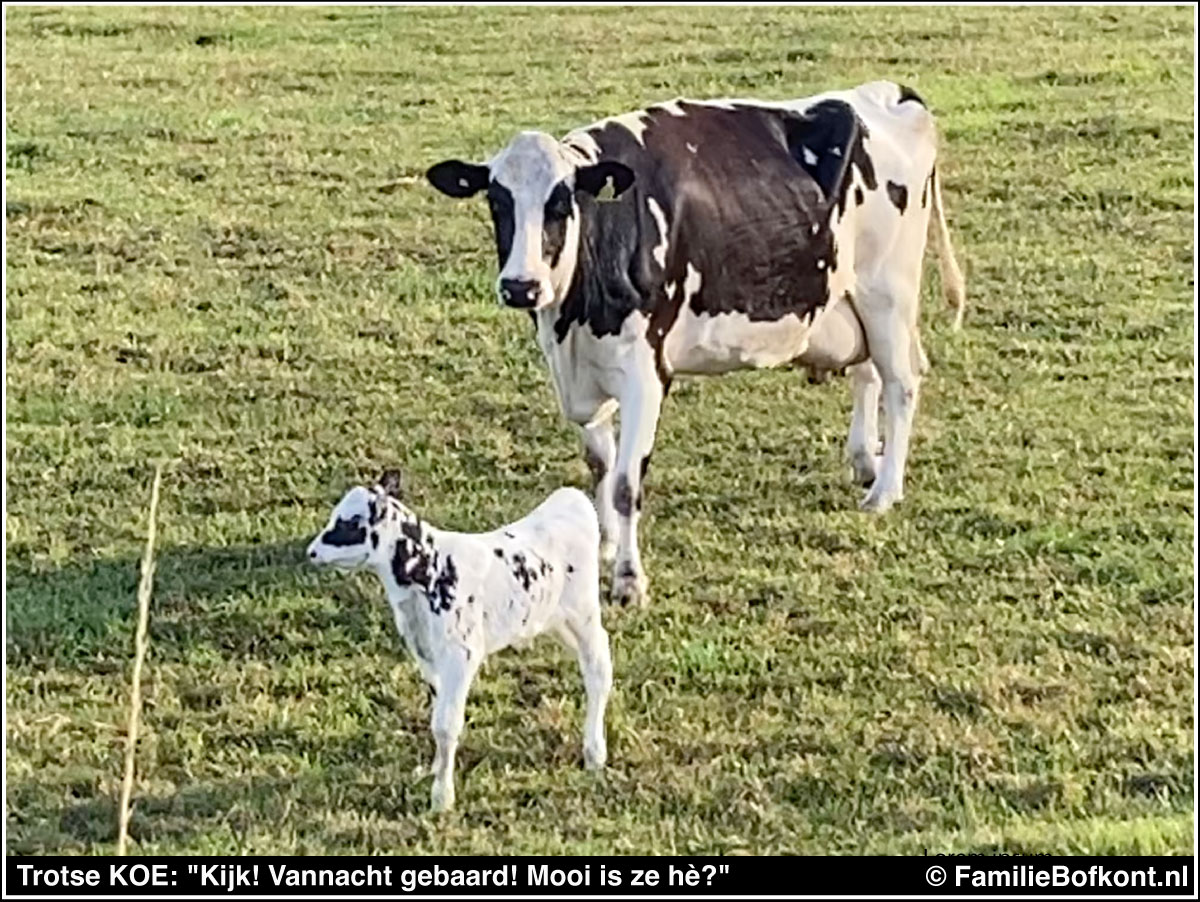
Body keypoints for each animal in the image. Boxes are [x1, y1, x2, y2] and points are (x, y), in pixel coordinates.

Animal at [427, 80, 966, 607]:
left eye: (562, 203)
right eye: (497, 202)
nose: (521, 286)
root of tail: (889, 91)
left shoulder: (645, 373)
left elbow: (625, 483)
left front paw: (629, 580)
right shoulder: (582, 372)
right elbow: (600, 464)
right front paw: (603, 545)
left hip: (888, 294)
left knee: (901, 382)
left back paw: (884, 491)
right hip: (851, 300)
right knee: (867, 372)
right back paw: (865, 461)